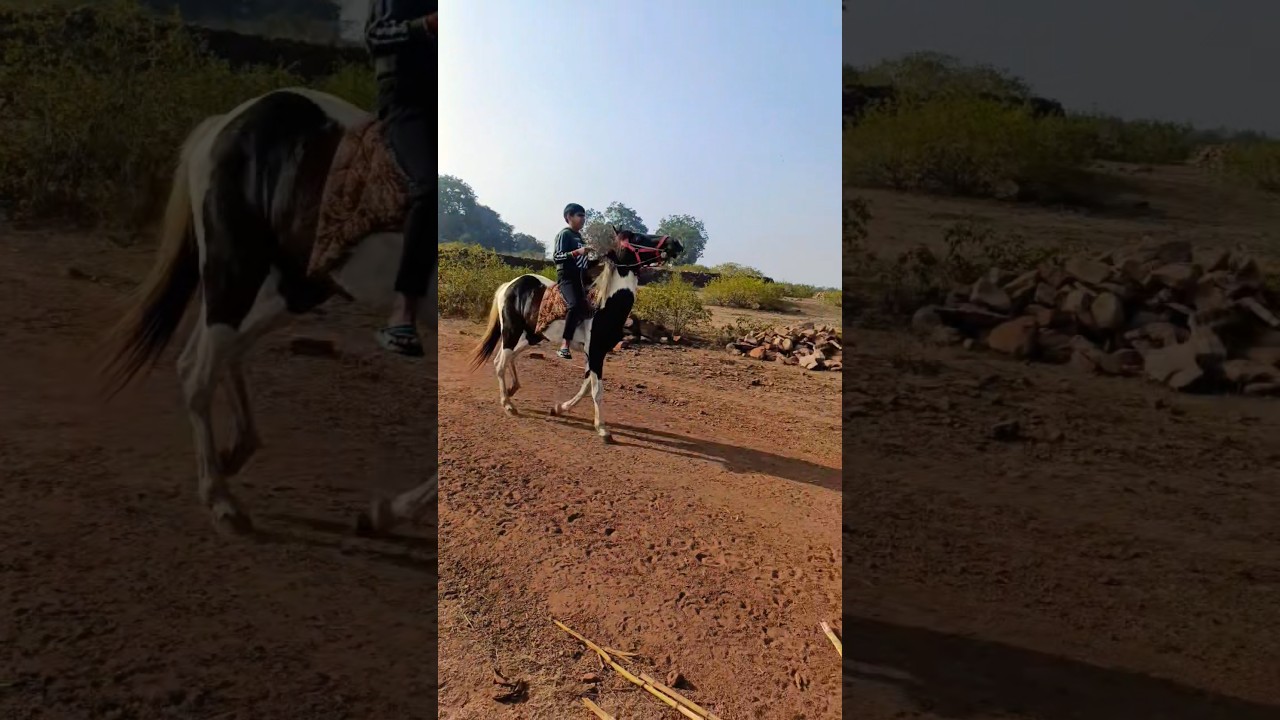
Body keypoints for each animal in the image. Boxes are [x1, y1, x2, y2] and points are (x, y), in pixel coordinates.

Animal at [99, 87, 436, 537]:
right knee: (198, 369)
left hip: (295, 285)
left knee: (220, 350)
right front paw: (387, 512)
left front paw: (383, 513)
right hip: (235, 268)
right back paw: (222, 501)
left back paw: (233, 455)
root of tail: (226, 122)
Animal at [467, 228, 682, 441]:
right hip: (511, 330)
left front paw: (559, 408)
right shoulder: (595, 351)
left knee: (509, 358)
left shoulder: (595, 353)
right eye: (638, 237)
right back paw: (508, 404)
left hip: (532, 336)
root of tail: (510, 285)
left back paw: (513, 390)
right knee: (500, 362)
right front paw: (602, 429)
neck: (605, 305)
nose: (676, 243)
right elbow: (597, 390)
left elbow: (586, 387)